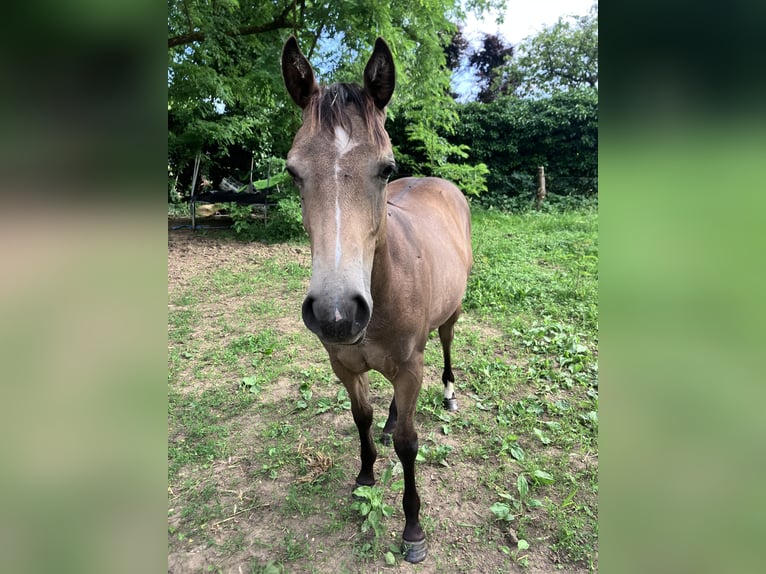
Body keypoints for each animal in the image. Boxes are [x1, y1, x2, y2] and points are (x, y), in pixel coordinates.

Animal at [281, 36, 473, 563]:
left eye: (386, 169)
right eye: (293, 172)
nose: (337, 312)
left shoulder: (410, 367)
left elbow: (409, 443)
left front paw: (413, 529)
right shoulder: (345, 366)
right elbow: (361, 417)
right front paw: (365, 473)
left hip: (450, 318)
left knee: (446, 345)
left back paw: (449, 394)